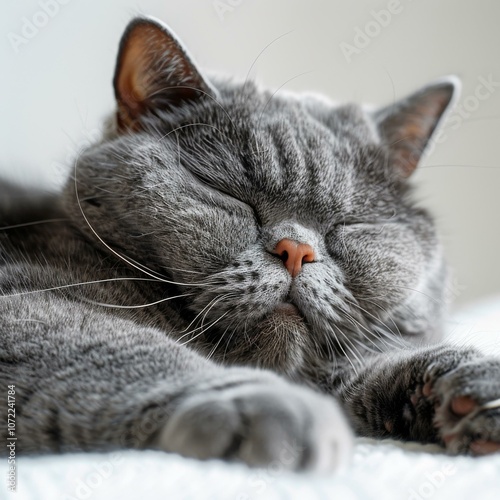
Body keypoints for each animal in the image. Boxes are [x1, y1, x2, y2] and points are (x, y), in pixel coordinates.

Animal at [0, 14, 500, 468]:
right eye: (228, 194)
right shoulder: (26, 300)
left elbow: (366, 367)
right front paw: (275, 409)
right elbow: (126, 347)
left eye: (350, 224)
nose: (296, 250)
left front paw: (475, 388)